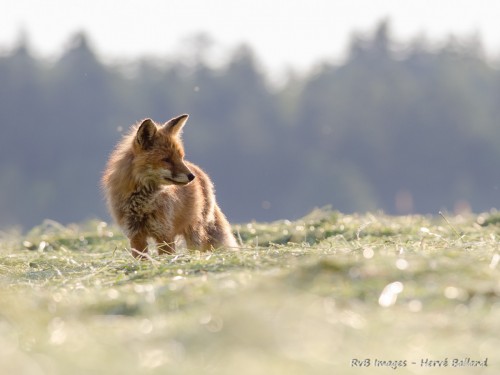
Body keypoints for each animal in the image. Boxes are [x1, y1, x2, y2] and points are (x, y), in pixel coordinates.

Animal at [101, 113, 238, 258]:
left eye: (180, 157)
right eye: (166, 159)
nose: (191, 176)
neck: (141, 202)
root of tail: (200, 172)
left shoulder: (164, 234)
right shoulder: (136, 235)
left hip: (194, 233)